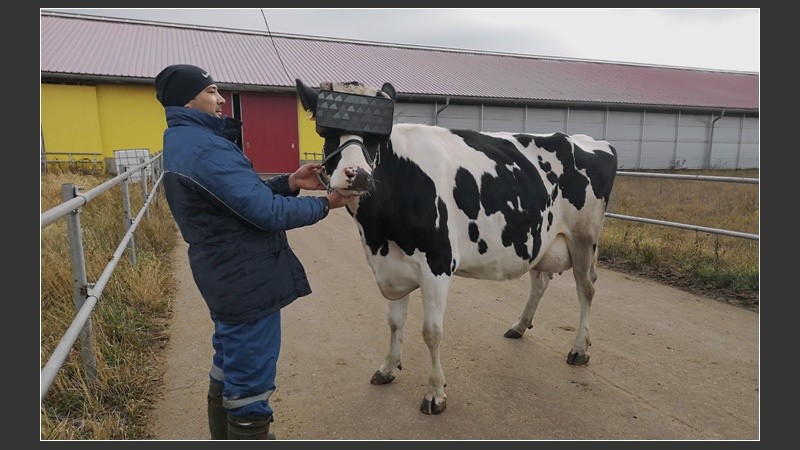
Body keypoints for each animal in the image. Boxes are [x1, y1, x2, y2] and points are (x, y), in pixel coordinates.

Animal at [296, 78, 616, 414]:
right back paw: (519, 325)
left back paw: (579, 349)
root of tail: (590, 141)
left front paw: (435, 393)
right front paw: (387, 368)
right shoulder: (392, 265)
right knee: (540, 281)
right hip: (540, 238)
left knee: (586, 289)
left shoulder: (437, 263)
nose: (357, 174)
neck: (378, 233)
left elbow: (431, 332)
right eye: (326, 132)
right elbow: (395, 322)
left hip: (584, 238)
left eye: (376, 138)